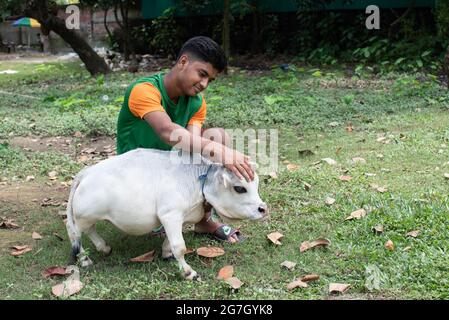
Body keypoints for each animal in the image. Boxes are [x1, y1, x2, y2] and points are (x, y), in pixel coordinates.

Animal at [65, 148, 268, 280]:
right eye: (239, 188)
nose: (263, 209)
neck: (198, 180)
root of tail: (84, 174)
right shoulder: (170, 214)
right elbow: (180, 246)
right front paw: (188, 272)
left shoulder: (180, 217)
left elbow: (171, 242)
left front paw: (166, 252)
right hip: (84, 216)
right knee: (73, 231)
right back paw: (84, 259)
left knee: (88, 230)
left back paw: (104, 247)